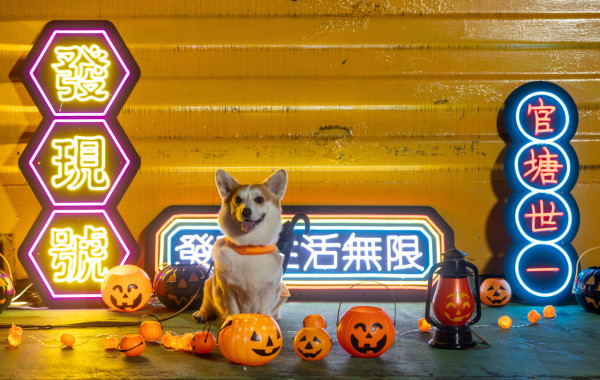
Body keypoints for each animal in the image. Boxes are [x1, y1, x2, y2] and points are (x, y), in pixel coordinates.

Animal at [191, 168, 288, 320]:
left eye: (259, 199)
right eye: (237, 199)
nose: (246, 211)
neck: (249, 247)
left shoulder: (268, 291)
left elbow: (263, 310)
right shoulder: (229, 291)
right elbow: (234, 310)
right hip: (208, 284)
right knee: (207, 303)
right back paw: (201, 314)